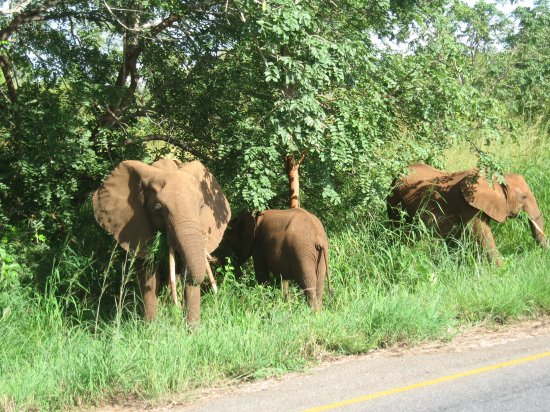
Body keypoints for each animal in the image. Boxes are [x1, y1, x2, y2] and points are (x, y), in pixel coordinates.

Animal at [388, 163, 548, 266]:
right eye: (524, 197)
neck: (493, 178)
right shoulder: (466, 203)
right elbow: (482, 233)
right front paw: (502, 269)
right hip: (394, 201)